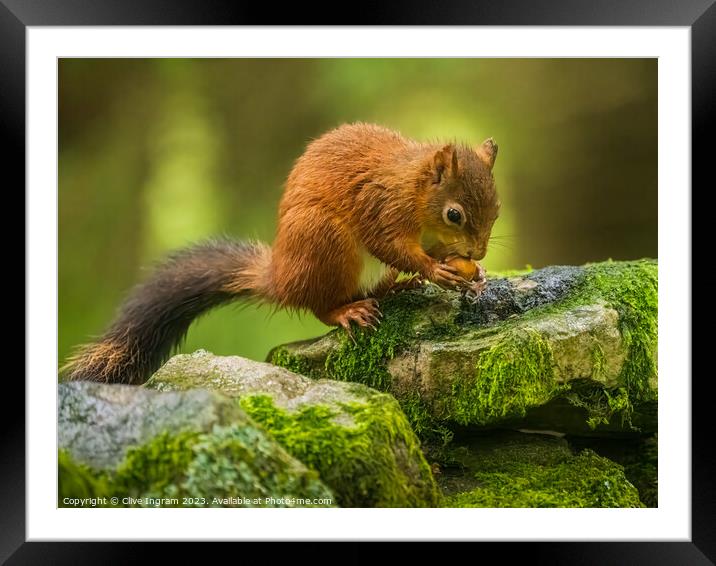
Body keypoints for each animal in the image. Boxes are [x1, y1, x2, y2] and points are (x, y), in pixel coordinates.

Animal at [63, 122, 498, 384]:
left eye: (496, 209)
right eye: (454, 214)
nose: (477, 251)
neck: (414, 188)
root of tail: (281, 278)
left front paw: (473, 275)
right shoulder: (381, 208)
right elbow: (390, 245)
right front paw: (436, 270)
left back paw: (397, 289)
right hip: (325, 243)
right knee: (320, 304)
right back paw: (347, 311)